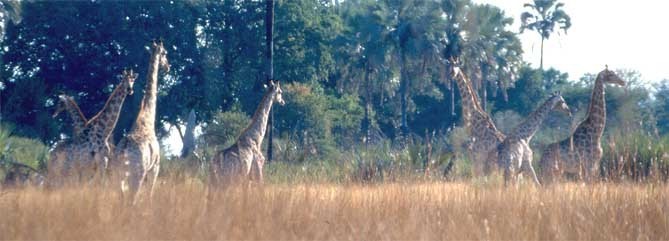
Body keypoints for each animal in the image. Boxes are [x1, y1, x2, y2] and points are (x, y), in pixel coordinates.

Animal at [113, 40, 170, 200]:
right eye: (165, 53)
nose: (168, 67)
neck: (147, 119)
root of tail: (124, 149)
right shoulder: (155, 168)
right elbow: (150, 195)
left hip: (119, 175)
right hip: (138, 174)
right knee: (133, 199)